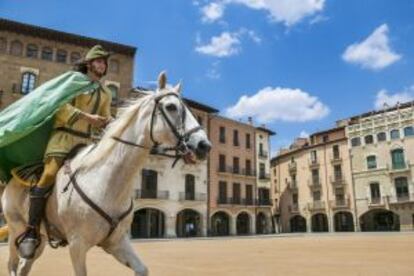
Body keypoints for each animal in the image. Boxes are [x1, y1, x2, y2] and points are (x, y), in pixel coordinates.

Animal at [0, 73, 210, 276]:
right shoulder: (77, 245)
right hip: (16, 230)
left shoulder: (117, 242)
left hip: (41, 239)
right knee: (12, 264)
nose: (204, 145)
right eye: (171, 107)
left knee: (24, 267)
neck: (106, 182)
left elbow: (142, 269)